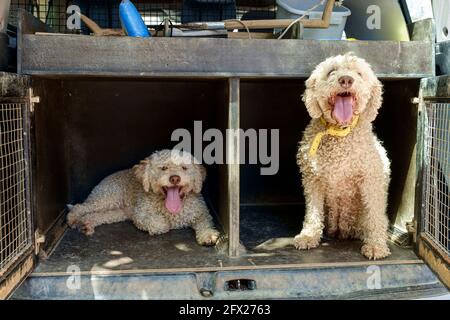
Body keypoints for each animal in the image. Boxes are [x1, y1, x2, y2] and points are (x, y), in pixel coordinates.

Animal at [67, 149, 220, 246]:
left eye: (184, 168)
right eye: (163, 168)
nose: (175, 178)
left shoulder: (201, 212)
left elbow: (205, 222)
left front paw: (208, 235)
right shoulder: (139, 214)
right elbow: (160, 223)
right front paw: (166, 224)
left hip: (117, 212)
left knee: (98, 215)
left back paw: (86, 223)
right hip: (106, 198)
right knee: (80, 207)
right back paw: (73, 219)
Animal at [296, 53, 390, 260]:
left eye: (359, 73)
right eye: (332, 71)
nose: (346, 79)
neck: (340, 132)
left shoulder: (371, 180)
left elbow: (375, 215)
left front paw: (376, 245)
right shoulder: (313, 180)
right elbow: (313, 212)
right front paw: (308, 236)